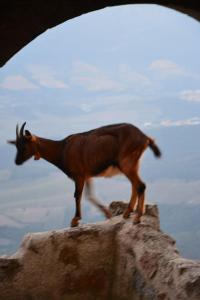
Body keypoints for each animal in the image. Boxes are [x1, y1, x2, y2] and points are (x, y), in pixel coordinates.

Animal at [8, 123, 161, 226]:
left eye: (24, 146)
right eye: (16, 145)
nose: (17, 161)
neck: (62, 150)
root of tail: (145, 138)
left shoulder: (79, 176)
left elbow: (77, 195)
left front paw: (74, 220)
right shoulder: (87, 176)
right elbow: (89, 195)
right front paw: (107, 214)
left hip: (126, 163)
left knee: (140, 185)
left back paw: (137, 217)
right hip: (133, 164)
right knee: (135, 185)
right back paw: (127, 213)